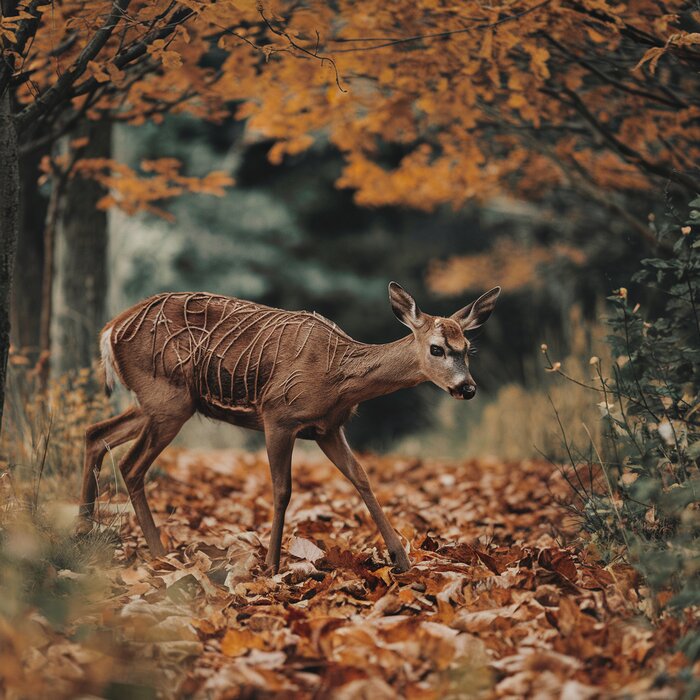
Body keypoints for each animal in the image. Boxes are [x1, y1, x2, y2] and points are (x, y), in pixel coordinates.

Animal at [79, 282, 500, 572]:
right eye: (437, 349)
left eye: (468, 349)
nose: (467, 388)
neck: (337, 376)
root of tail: (109, 330)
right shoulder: (277, 415)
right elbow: (282, 490)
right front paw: (271, 564)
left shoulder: (328, 428)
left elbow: (361, 478)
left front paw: (401, 559)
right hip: (168, 399)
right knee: (131, 464)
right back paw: (159, 553)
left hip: (156, 402)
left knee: (96, 434)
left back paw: (83, 531)